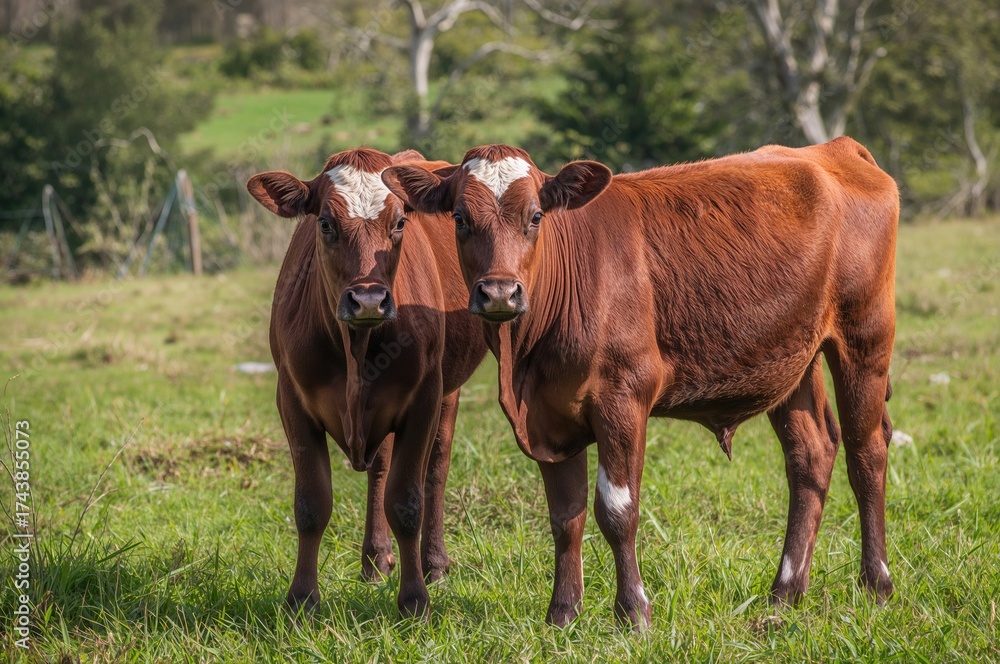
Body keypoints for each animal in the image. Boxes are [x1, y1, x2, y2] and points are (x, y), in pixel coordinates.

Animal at [247, 148, 486, 619]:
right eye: (325, 223)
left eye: (399, 222)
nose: (369, 300)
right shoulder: (292, 400)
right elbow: (311, 504)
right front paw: (302, 599)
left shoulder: (424, 397)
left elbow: (407, 501)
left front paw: (414, 601)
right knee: (379, 469)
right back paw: (375, 561)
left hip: (448, 392)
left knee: (435, 471)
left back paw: (434, 564)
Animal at [382, 136, 899, 630]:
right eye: (460, 218)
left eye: (535, 216)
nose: (499, 293)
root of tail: (833, 149)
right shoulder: (547, 416)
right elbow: (564, 516)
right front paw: (562, 614)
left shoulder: (623, 398)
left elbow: (617, 510)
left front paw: (633, 612)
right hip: (792, 358)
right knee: (811, 455)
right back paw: (786, 591)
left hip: (865, 337)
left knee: (866, 452)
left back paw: (876, 584)